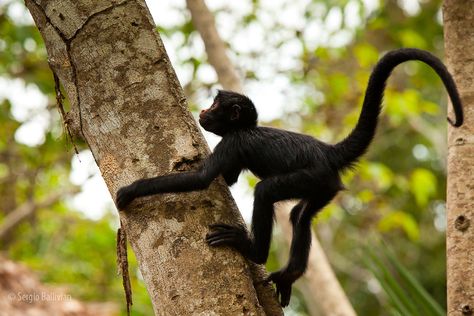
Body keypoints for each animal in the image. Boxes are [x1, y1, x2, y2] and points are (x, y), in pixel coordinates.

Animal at [115, 48, 462, 308]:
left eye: (215, 104)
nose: (203, 111)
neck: (246, 128)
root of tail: (326, 151)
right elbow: (227, 180)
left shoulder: (234, 142)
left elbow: (201, 180)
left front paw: (130, 191)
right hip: (325, 186)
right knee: (300, 217)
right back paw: (289, 274)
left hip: (311, 176)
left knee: (266, 191)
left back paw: (253, 250)